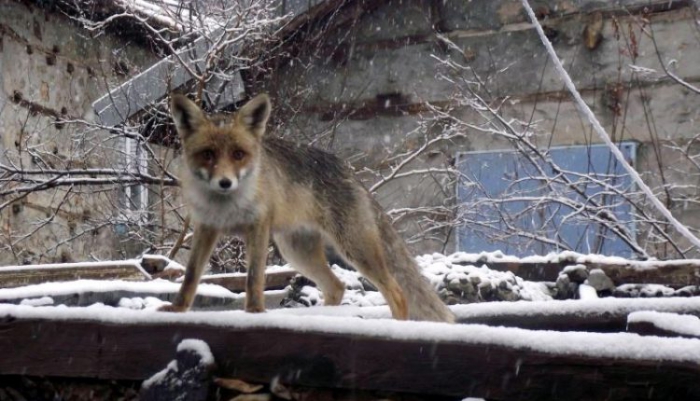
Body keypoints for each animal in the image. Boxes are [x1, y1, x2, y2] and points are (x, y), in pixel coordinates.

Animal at [160, 93, 454, 322]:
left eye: (238, 154)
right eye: (208, 154)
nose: (225, 182)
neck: (226, 205)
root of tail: (349, 170)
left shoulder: (258, 225)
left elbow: (254, 278)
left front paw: (254, 312)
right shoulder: (206, 227)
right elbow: (191, 275)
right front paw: (178, 308)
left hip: (353, 248)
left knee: (397, 292)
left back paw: (395, 326)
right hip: (297, 253)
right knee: (336, 287)